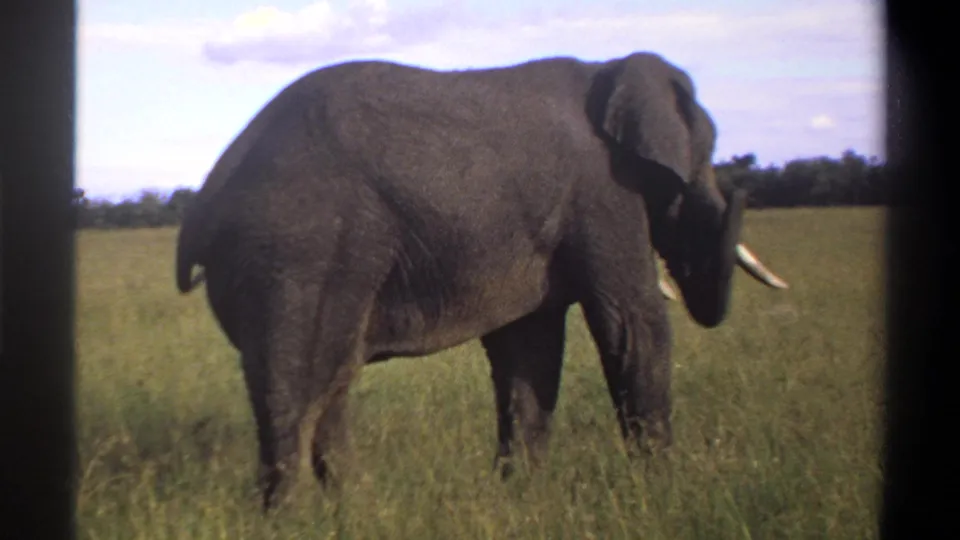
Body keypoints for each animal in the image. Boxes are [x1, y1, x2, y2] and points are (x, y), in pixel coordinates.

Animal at [175, 51, 788, 510]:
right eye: (701, 161)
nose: (741, 187)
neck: (608, 70)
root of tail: (209, 193)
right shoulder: (604, 194)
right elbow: (632, 324)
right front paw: (663, 491)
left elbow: (529, 349)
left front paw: (521, 496)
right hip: (299, 251)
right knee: (300, 389)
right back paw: (292, 519)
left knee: (332, 383)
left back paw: (356, 510)